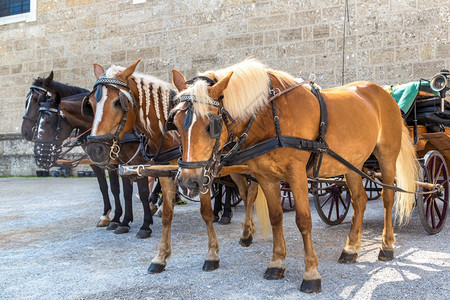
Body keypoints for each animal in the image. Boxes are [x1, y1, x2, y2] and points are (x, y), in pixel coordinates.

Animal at [33, 92, 156, 239]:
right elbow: (114, 189)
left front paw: (144, 225)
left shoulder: (136, 163)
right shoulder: (115, 164)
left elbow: (140, 192)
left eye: (48, 121)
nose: (39, 156)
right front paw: (118, 220)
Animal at [81, 59, 260, 274]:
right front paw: (160, 257)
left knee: (252, 192)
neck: (170, 136)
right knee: (245, 191)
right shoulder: (167, 175)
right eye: (91, 103)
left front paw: (211, 254)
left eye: (118, 102)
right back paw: (247, 231)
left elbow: (206, 213)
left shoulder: (200, 175)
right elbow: (167, 214)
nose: (94, 149)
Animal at [169, 58, 418, 292]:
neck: (272, 116)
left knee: (387, 198)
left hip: (387, 156)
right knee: (359, 200)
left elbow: (303, 220)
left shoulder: (297, 175)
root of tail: (382, 92)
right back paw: (351, 249)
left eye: (211, 125)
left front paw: (311, 274)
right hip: (351, 164)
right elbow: (276, 217)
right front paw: (277, 262)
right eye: (176, 124)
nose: (188, 181)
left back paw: (386, 246)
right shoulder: (266, 177)